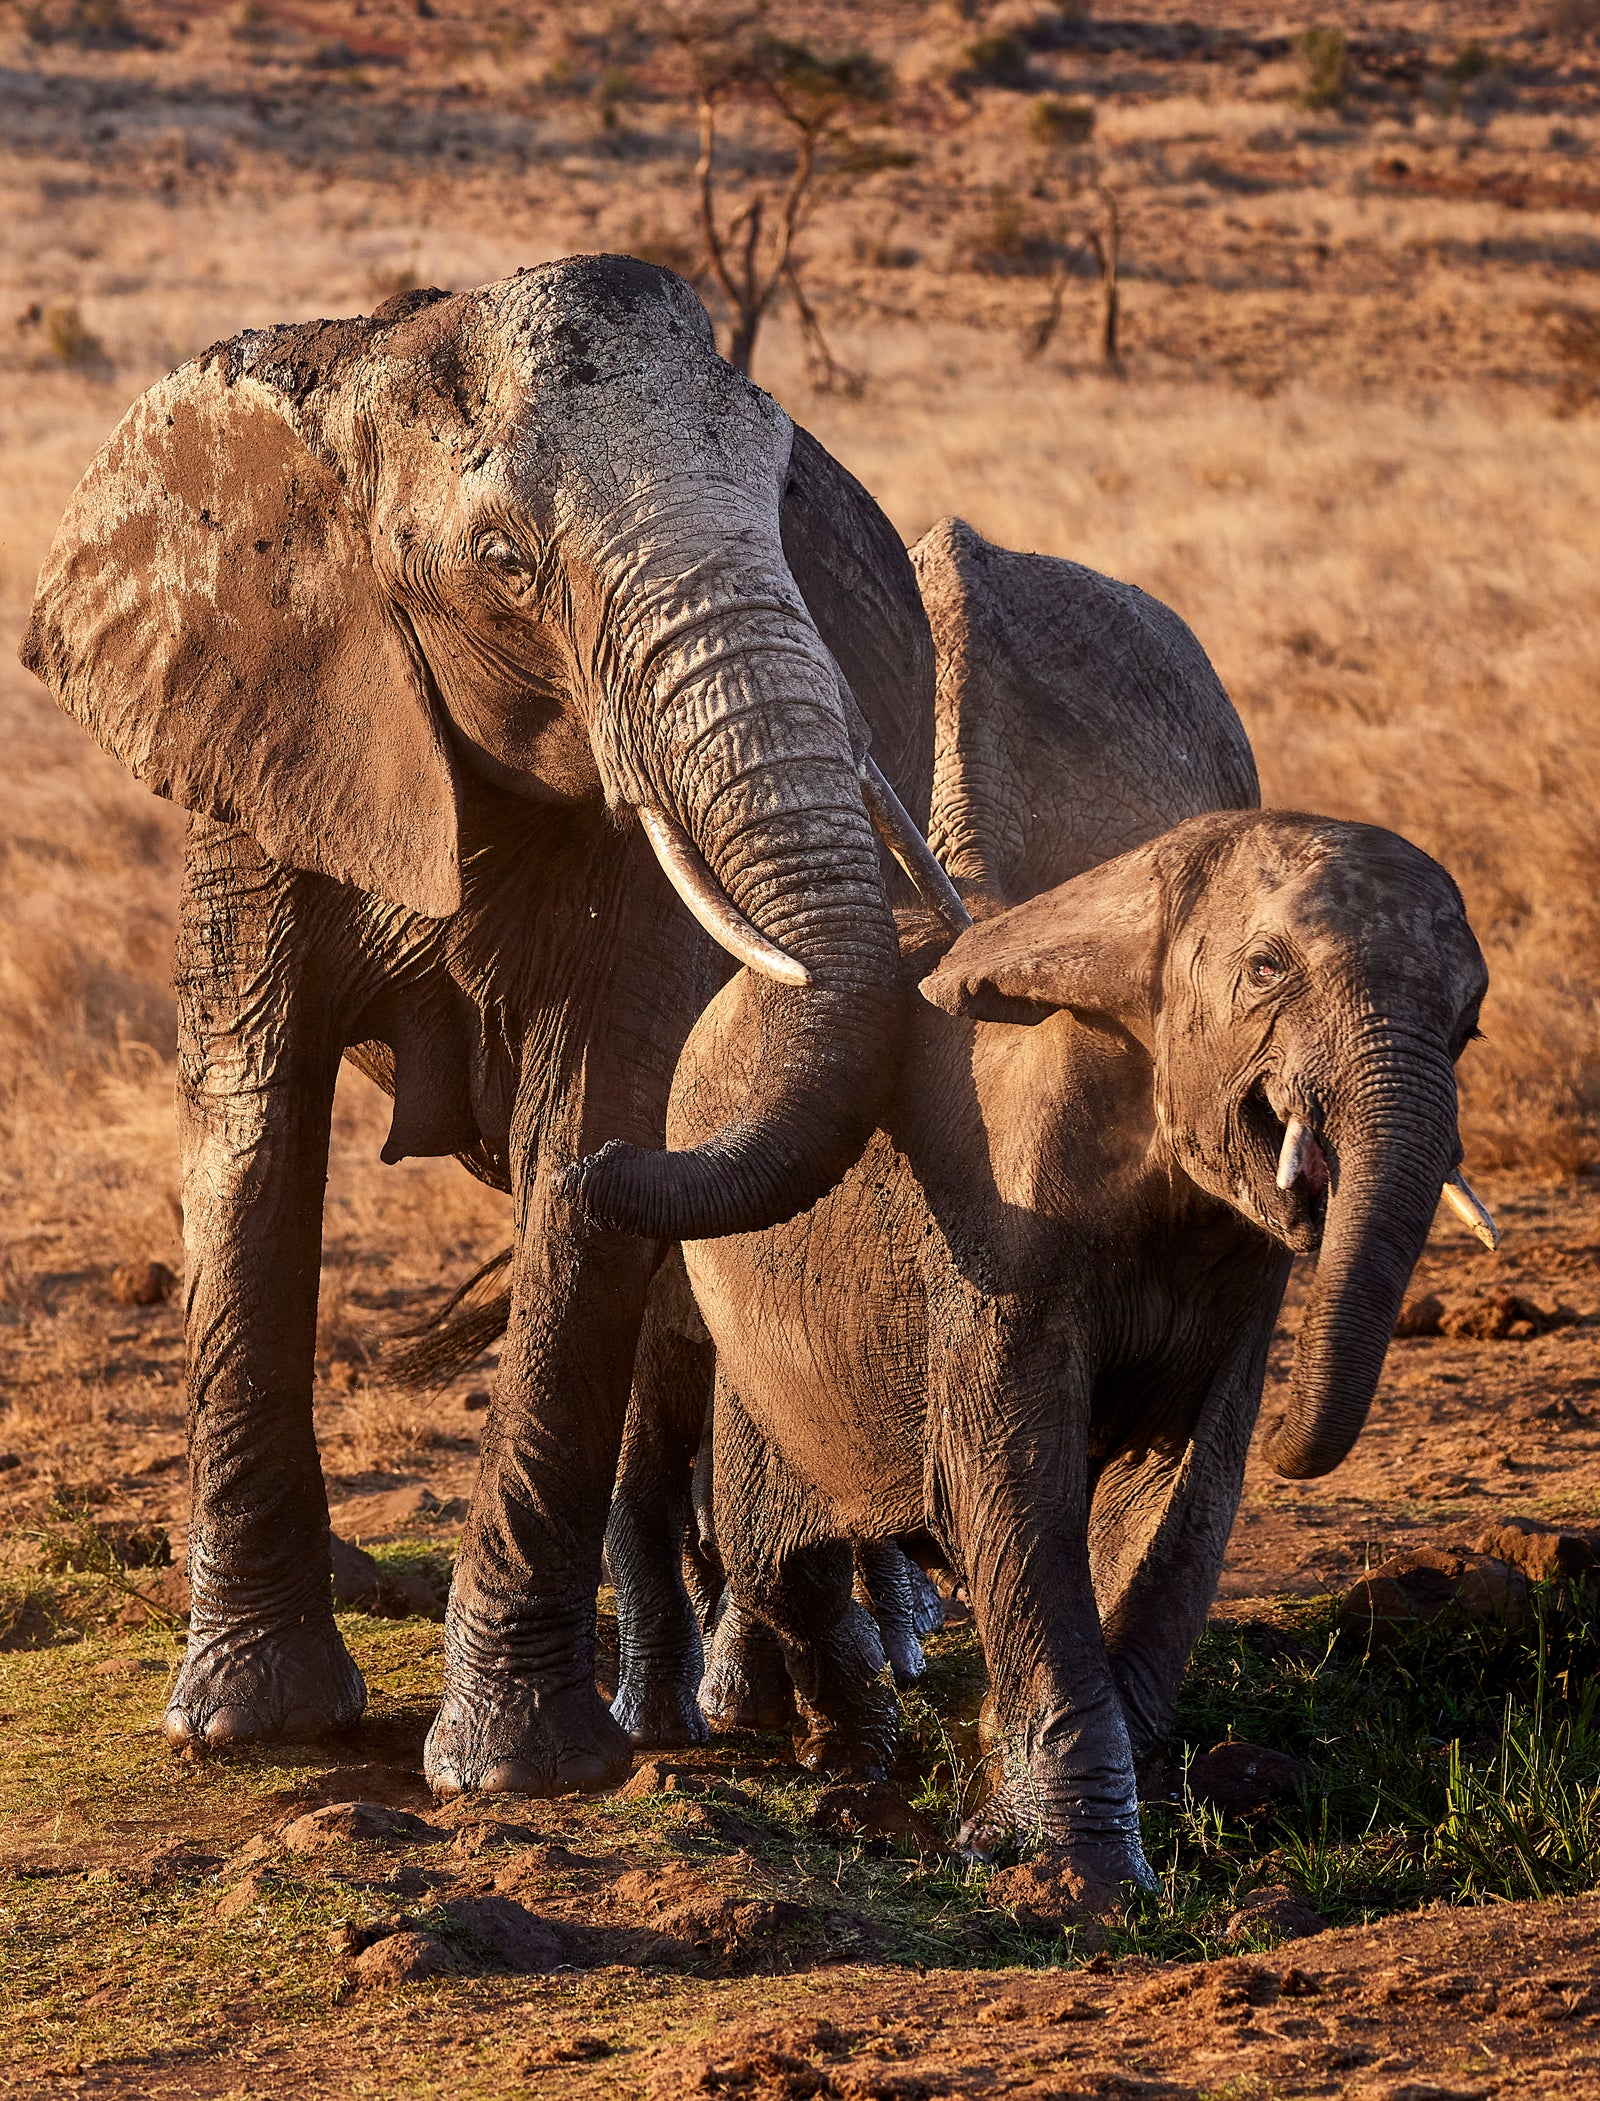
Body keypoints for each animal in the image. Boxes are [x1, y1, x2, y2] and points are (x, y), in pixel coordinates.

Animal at [21, 255, 969, 1797]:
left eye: (775, 515)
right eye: (510, 568)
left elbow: (601, 1114)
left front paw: (510, 1773)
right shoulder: (254, 737)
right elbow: (249, 1127)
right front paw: (246, 1729)